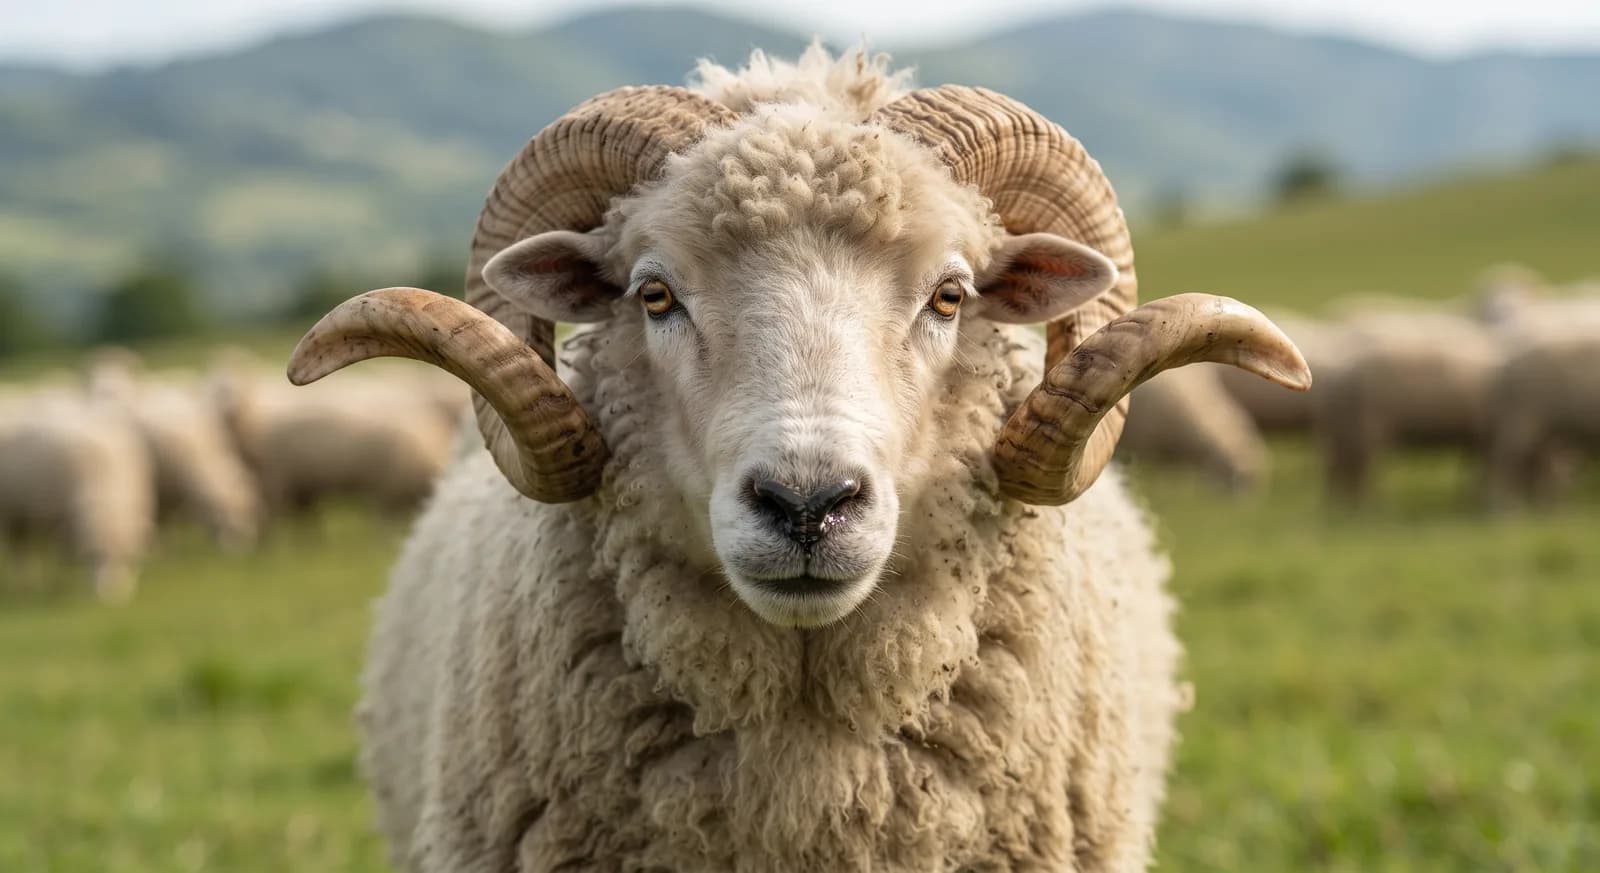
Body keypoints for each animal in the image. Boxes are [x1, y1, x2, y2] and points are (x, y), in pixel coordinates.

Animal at [0, 388, 154, 600]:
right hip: (15, 513)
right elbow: (61, 553)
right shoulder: (60, 521)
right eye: (94, 556)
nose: (110, 597)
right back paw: (24, 582)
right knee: (20, 549)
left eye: (129, 559)